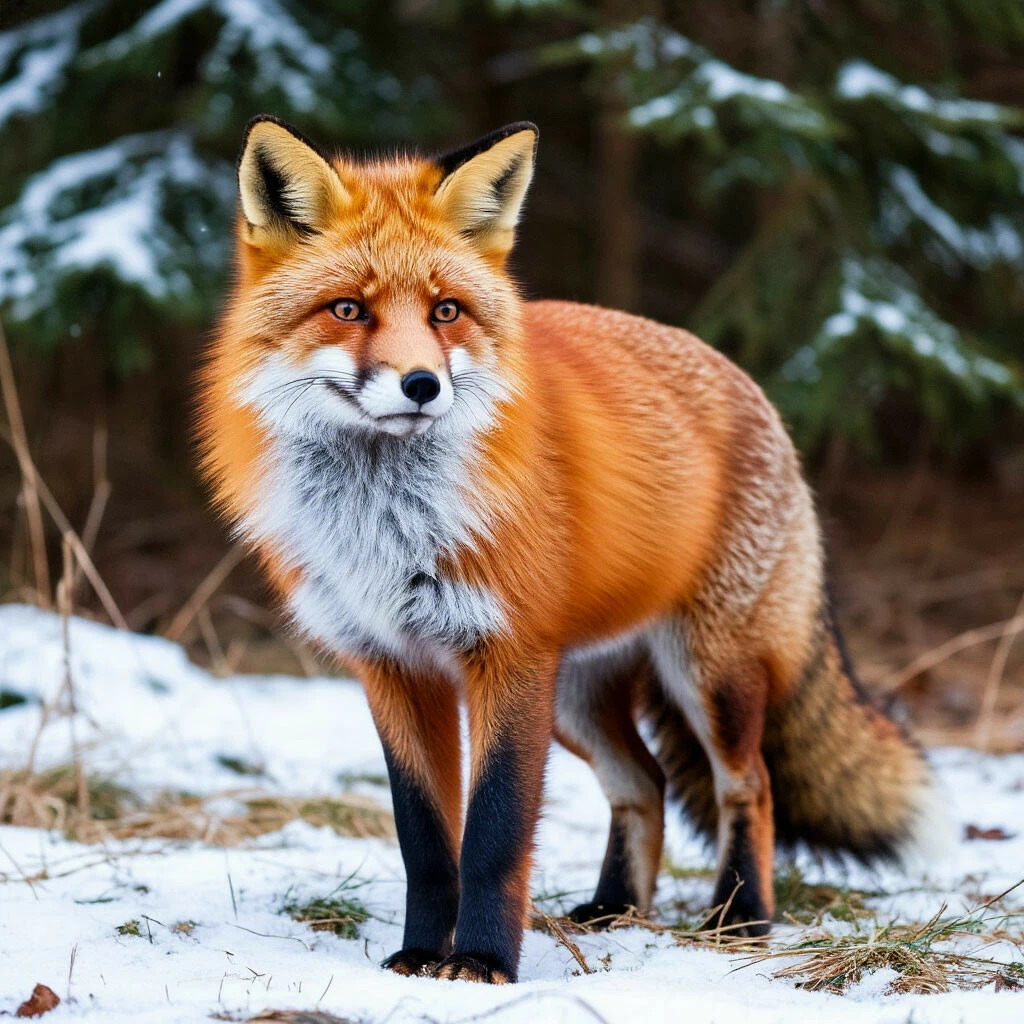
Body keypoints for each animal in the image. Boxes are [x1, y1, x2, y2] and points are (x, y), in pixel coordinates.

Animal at [197, 116, 940, 984]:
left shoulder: (509, 656)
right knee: (645, 783)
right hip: (578, 699)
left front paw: (482, 961)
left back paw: (742, 918)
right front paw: (420, 954)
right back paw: (617, 910)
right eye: (348, 308)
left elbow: (493, 834)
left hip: (708, 675)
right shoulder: (391, 666)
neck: (385, 524)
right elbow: (426, 839)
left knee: (749, 786)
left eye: (446, 311)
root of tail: (742, 378)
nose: (422, 385)